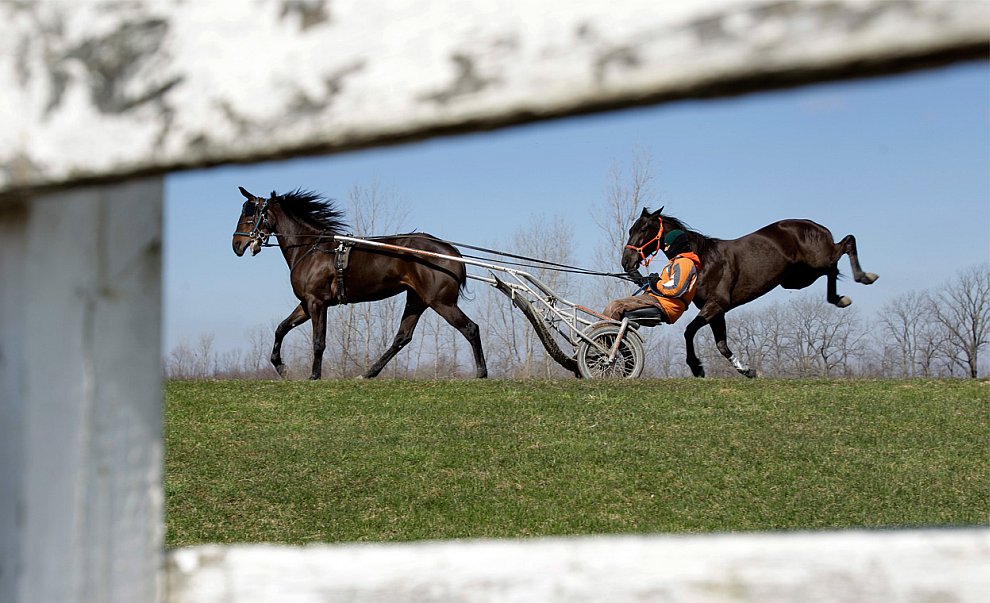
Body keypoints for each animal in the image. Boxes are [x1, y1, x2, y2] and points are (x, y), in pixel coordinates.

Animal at [229, 186, 484, 380]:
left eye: (249, 215)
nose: (236, 245)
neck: (310, 248)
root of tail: (452, 252)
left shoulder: (317, 303)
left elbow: (318, 342)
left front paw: (314, 376)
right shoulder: (306, 303)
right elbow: (281, 327)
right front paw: (282, 367)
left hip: (441, 302)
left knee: (470, 328)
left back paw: (482, 373)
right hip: (417, 300)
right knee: (402, 338)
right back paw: (369, 373)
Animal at [624, 208, 880, 378]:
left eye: (644, 229)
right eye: (631, 229)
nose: (626, 261)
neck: (702, 259)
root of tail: (814, 225)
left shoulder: (717, 304)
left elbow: (689, 332)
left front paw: (696, 366)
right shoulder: (716, 311)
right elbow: (721, 344)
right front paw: (747, 370)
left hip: (815, 262)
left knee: (846, 244)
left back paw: (864, 277)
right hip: (798, 278)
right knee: (832, 269)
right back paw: (839, 298)